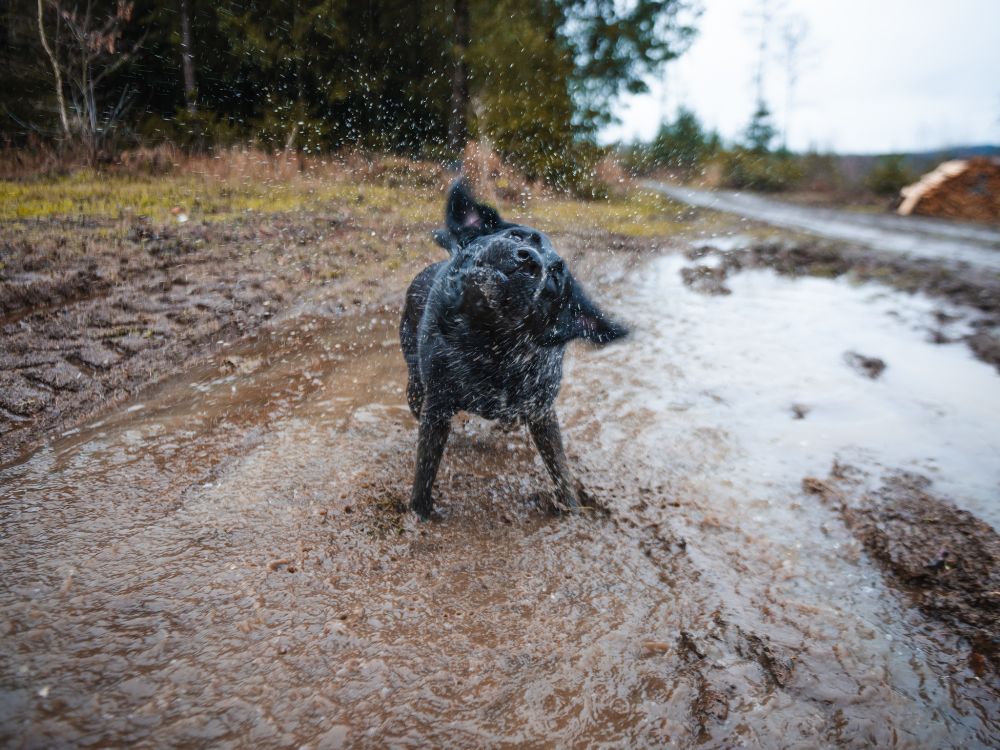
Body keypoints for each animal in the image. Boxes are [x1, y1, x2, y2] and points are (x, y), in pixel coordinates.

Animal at [398, 183, 624, 524]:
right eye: (518, 237)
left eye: (555, 277)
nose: (529, 260)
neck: (490, 346)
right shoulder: (436, 407)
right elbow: (424, 472)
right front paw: (419, 516)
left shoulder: (541, 410)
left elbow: (561, 471)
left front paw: (574, 511)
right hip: (416, 389)